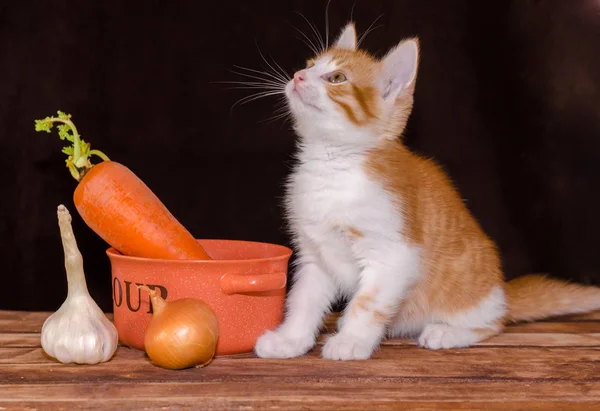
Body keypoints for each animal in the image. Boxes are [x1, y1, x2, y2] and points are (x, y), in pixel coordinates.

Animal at [252, 22, 600, 360]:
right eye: (310, 64)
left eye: (337, 78)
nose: (298, 75)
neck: (333, 166)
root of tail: (500, 292)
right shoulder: (315, 255)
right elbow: (303, 300)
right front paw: (290, 340)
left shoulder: (395, 255)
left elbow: (367, 304)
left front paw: (351, 341)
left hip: (471, 298)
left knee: (494, 323)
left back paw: (448, 332)